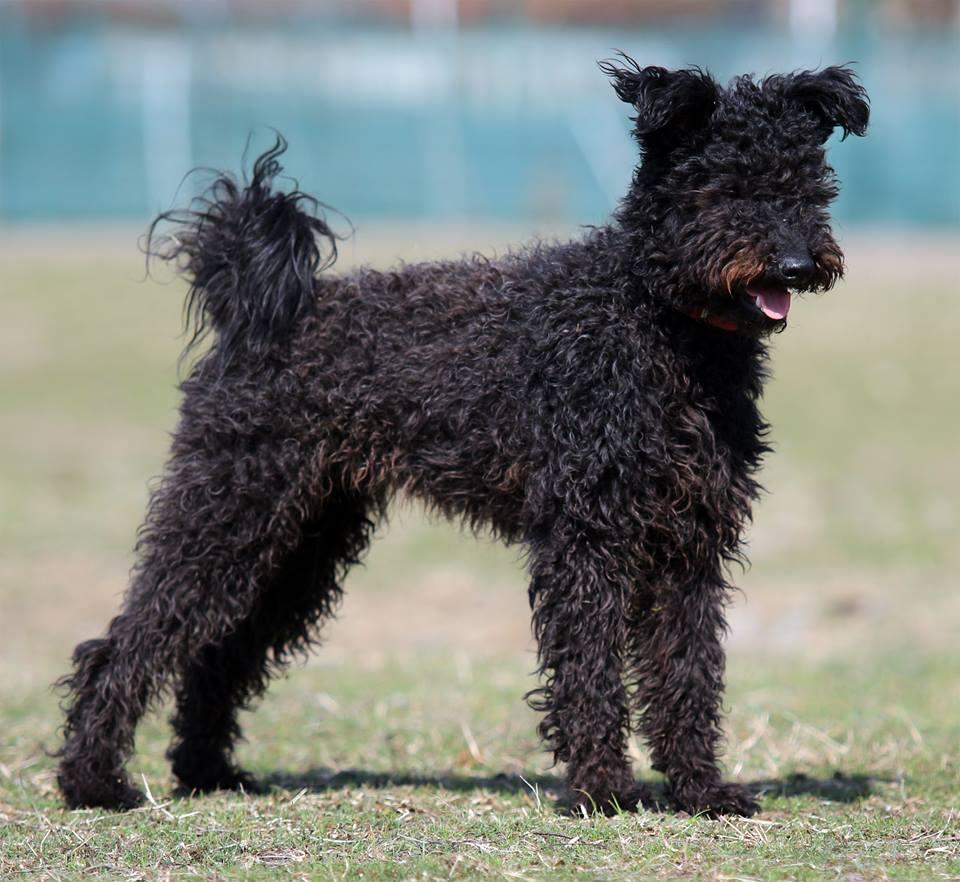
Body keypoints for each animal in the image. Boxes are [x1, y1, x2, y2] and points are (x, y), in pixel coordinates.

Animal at [58, 58, 872, 820]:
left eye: (811, 189)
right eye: (726, 188)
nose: (797, 263)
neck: (656, 319)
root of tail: (256, 309)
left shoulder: (691, 542)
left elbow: (688, 672)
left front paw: (701, 790)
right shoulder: (588, 536)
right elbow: (591, 669)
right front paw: (603, 789)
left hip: (304, 535)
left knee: (217, 657)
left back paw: (208, 773)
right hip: (230, 508)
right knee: (126, 645)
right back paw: (95, 782)